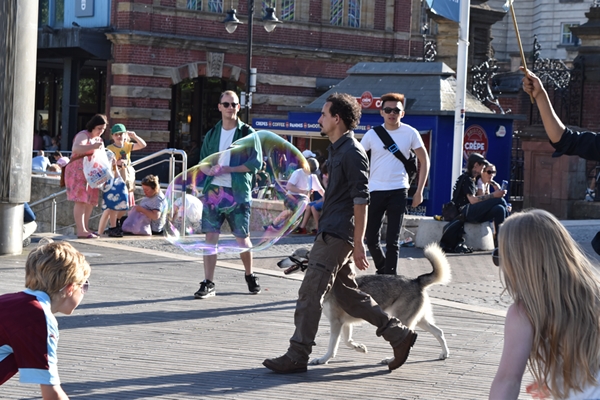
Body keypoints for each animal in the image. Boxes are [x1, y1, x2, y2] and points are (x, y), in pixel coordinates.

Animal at [276, 242, 450, 364]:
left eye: (293, 255)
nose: (278, 263)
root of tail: (416, 280)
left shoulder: (336, 322)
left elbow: (333, 345)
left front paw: (324, 359)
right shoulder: (345, 323)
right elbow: (347, 341)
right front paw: (359, 348)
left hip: (404, 320)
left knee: (405, 338)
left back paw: (391, 360)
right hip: (420, 320)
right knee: (439, 332)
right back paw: (444, 354)